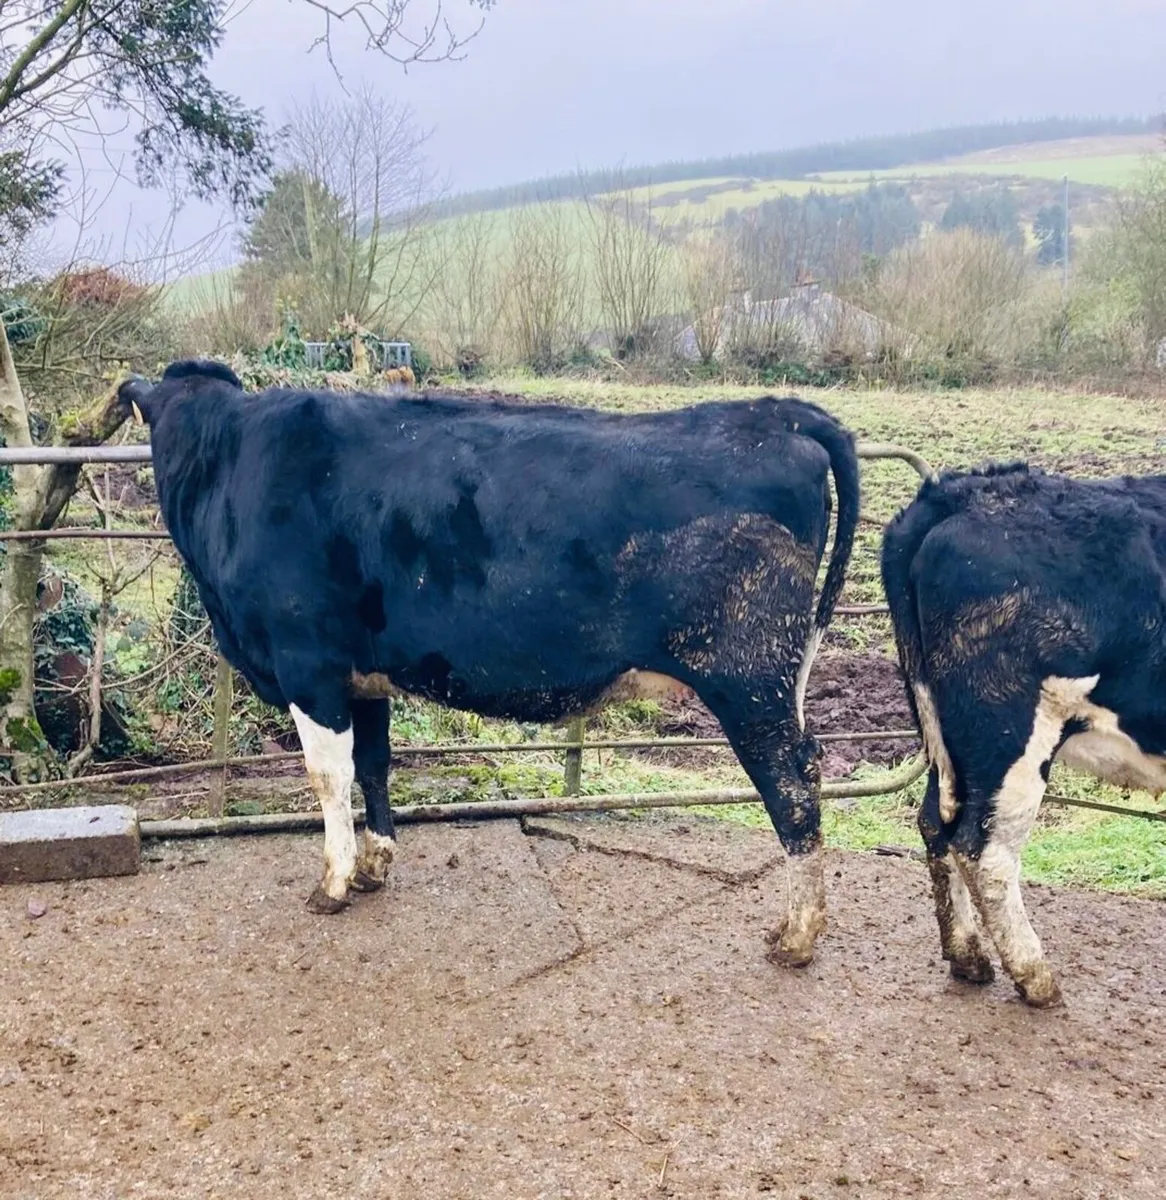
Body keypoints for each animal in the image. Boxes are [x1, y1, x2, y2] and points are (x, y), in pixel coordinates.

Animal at [119, 360, 859, 967]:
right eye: (165, 438)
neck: (233, 464)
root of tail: (771, 412)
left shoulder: (309, 664)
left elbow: (329, 777)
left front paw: (333, 881)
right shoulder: (363, 672)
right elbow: (375, 764)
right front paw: (375, 865)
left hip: (748, 677)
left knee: (794, 788)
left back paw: (797, 935)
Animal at [882, 461, 1166, 1007]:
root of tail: (958, 492)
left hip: (948, 740)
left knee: (935, 823)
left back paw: (968, 956)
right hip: (1010, 733)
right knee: (984, 850)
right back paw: (1035, 977)